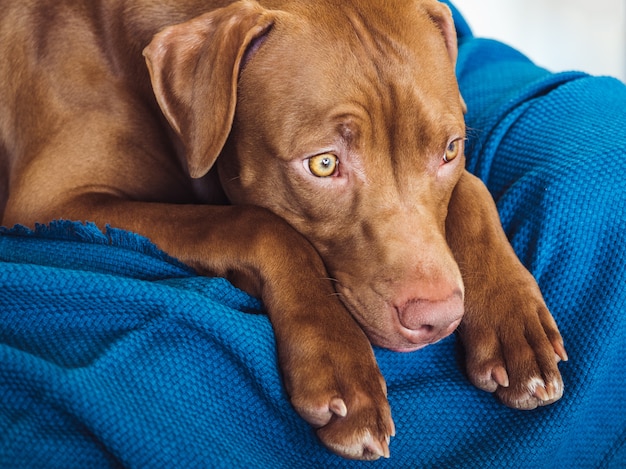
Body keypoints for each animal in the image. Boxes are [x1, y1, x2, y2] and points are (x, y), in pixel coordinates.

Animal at [0, 0, 564, 460]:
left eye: (450, 150)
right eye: (323, 164)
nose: (438, 317)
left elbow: (474, 189)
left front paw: (512, 320)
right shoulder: (55, 201)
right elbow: (257, 223)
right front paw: (339, 362)